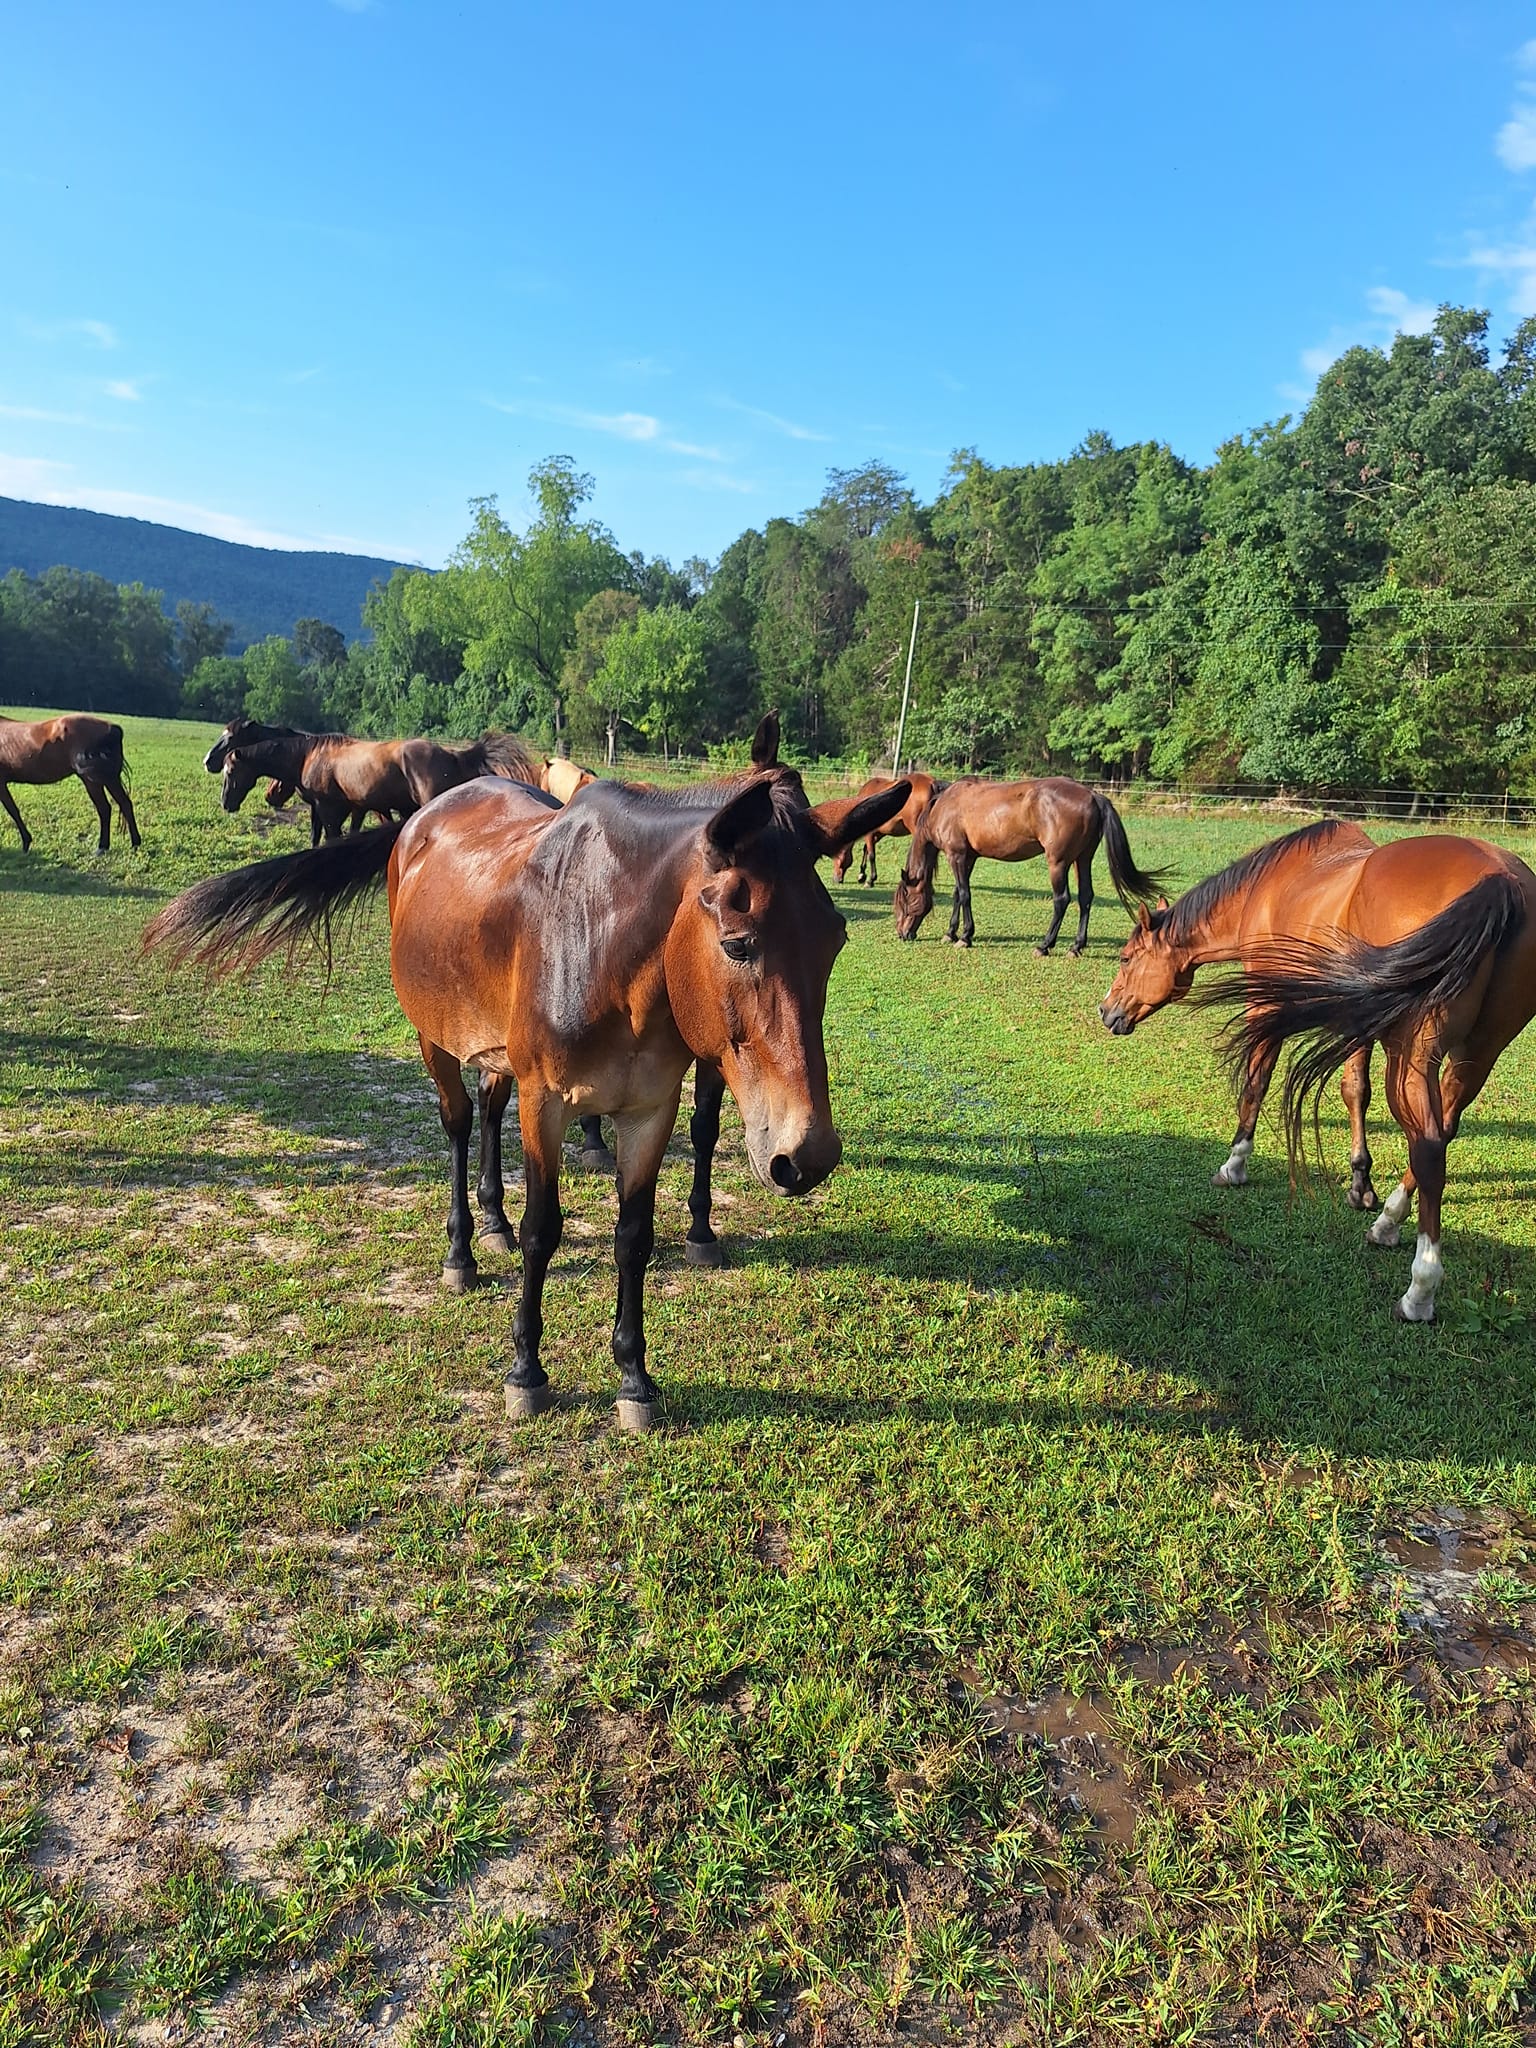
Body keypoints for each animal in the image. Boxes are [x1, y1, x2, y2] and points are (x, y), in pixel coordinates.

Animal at [0, 716, 141, 851]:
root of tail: (113, 729)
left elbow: (13, 811)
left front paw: (26, 842)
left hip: (92, 780)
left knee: (105, 808)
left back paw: (102, 847)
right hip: (110, 779)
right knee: (125, 803)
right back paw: (135, 844)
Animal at [144, 770, 909, 1425]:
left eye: (835, 941)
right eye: (740, 944)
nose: (806, 1154)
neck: (606, 946)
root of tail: (423, 815)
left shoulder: (649, 1110)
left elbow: (633, 1238)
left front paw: (634, 1377)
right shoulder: (548, 1103)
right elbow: (546, 1231)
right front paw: (526, 1371)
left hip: (495, 1052)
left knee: (487, 1111)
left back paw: (492, 1222)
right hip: (435, 1037)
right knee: (458, 1124)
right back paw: (462, 1250)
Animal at [888, 774, 1163, 950]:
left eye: (904, 901)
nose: (902, 933)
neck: (944, 807)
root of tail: (1094, 795)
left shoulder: (956, 854)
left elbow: (965, 894)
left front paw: (965, 937)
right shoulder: (968, 857)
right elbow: (958, 893)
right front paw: (951, 933)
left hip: (1058, 863)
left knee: (1062, 899)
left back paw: (1045, 945)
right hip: (1082, 859)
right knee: (1086, 897)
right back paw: (1076, 946)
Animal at [1097, 815, 1536, 1327]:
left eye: (1126, 958)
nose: (1106, 1011)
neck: (1268, 888)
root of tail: (1502, 880)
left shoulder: (1264, 1004)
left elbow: (1256, 1084)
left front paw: (1234, 1163)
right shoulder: (1358, 1018)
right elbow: (1355, 1090)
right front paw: (1360, 1185)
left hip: (1413, 1056)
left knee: (1429, 1147)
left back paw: (1419, 1289)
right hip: (1476, 1054)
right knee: (1443, 1130)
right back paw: (1387, 1220)